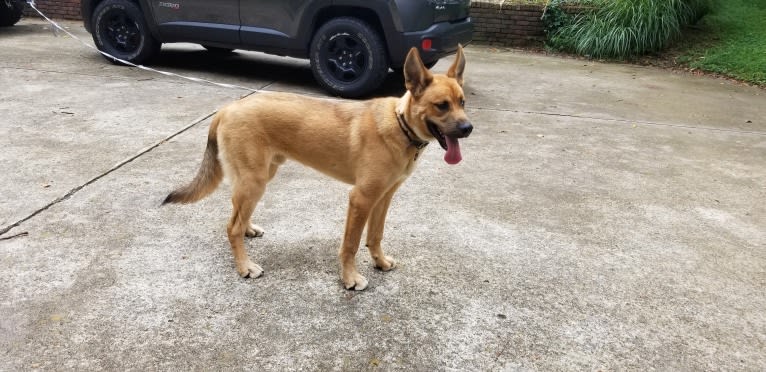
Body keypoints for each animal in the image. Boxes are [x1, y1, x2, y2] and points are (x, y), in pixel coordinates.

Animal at [163, 45, 474, 290]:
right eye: (441, 105)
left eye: (462, 102)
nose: (468, 128)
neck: (400, 125)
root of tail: (226, 109)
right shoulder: (361, 199)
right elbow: (351, 244)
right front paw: (349, 278)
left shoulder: (383, 197)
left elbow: (375, 235)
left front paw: (380, 261)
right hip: (254, 181)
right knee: (231, 227)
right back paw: (244, 267)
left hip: (258, 178)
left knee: (237, 214)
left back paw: (249, 230)